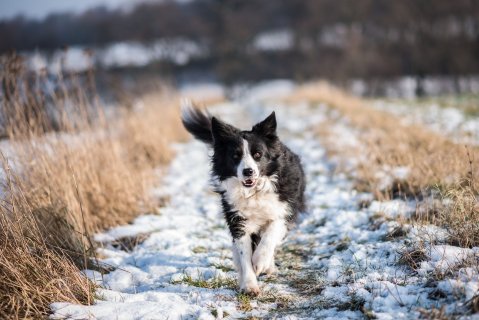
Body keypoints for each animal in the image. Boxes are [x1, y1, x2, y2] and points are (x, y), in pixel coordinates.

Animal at [182, 105, 306, 296]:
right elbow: (244, 253)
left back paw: (268, 266)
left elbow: (271, 234)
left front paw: (260, 262)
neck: (253, 192)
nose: (248, 171)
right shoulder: (237, 219)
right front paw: (249, 285)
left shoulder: (285, 210)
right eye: (235, 155)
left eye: (258, 154)